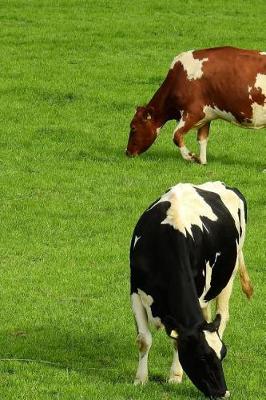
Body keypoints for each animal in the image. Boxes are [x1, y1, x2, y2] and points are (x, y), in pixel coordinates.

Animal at [125, 47, 266, 164]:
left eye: (133, 127)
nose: (127, 152)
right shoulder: (206, 115)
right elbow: (202, 139)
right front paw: (202, 161)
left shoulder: (193, 112)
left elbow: (176, 135)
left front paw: (191, 157)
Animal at [131, 182, 254, 400]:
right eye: (202, 357)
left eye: (223, 354)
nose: (223, 393)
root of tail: (223, 184)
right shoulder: (135, 292)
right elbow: (144, 340)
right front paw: (140, 380)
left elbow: (175, 342)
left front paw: (175, 376)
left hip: (228, 276)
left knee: (223, 315)